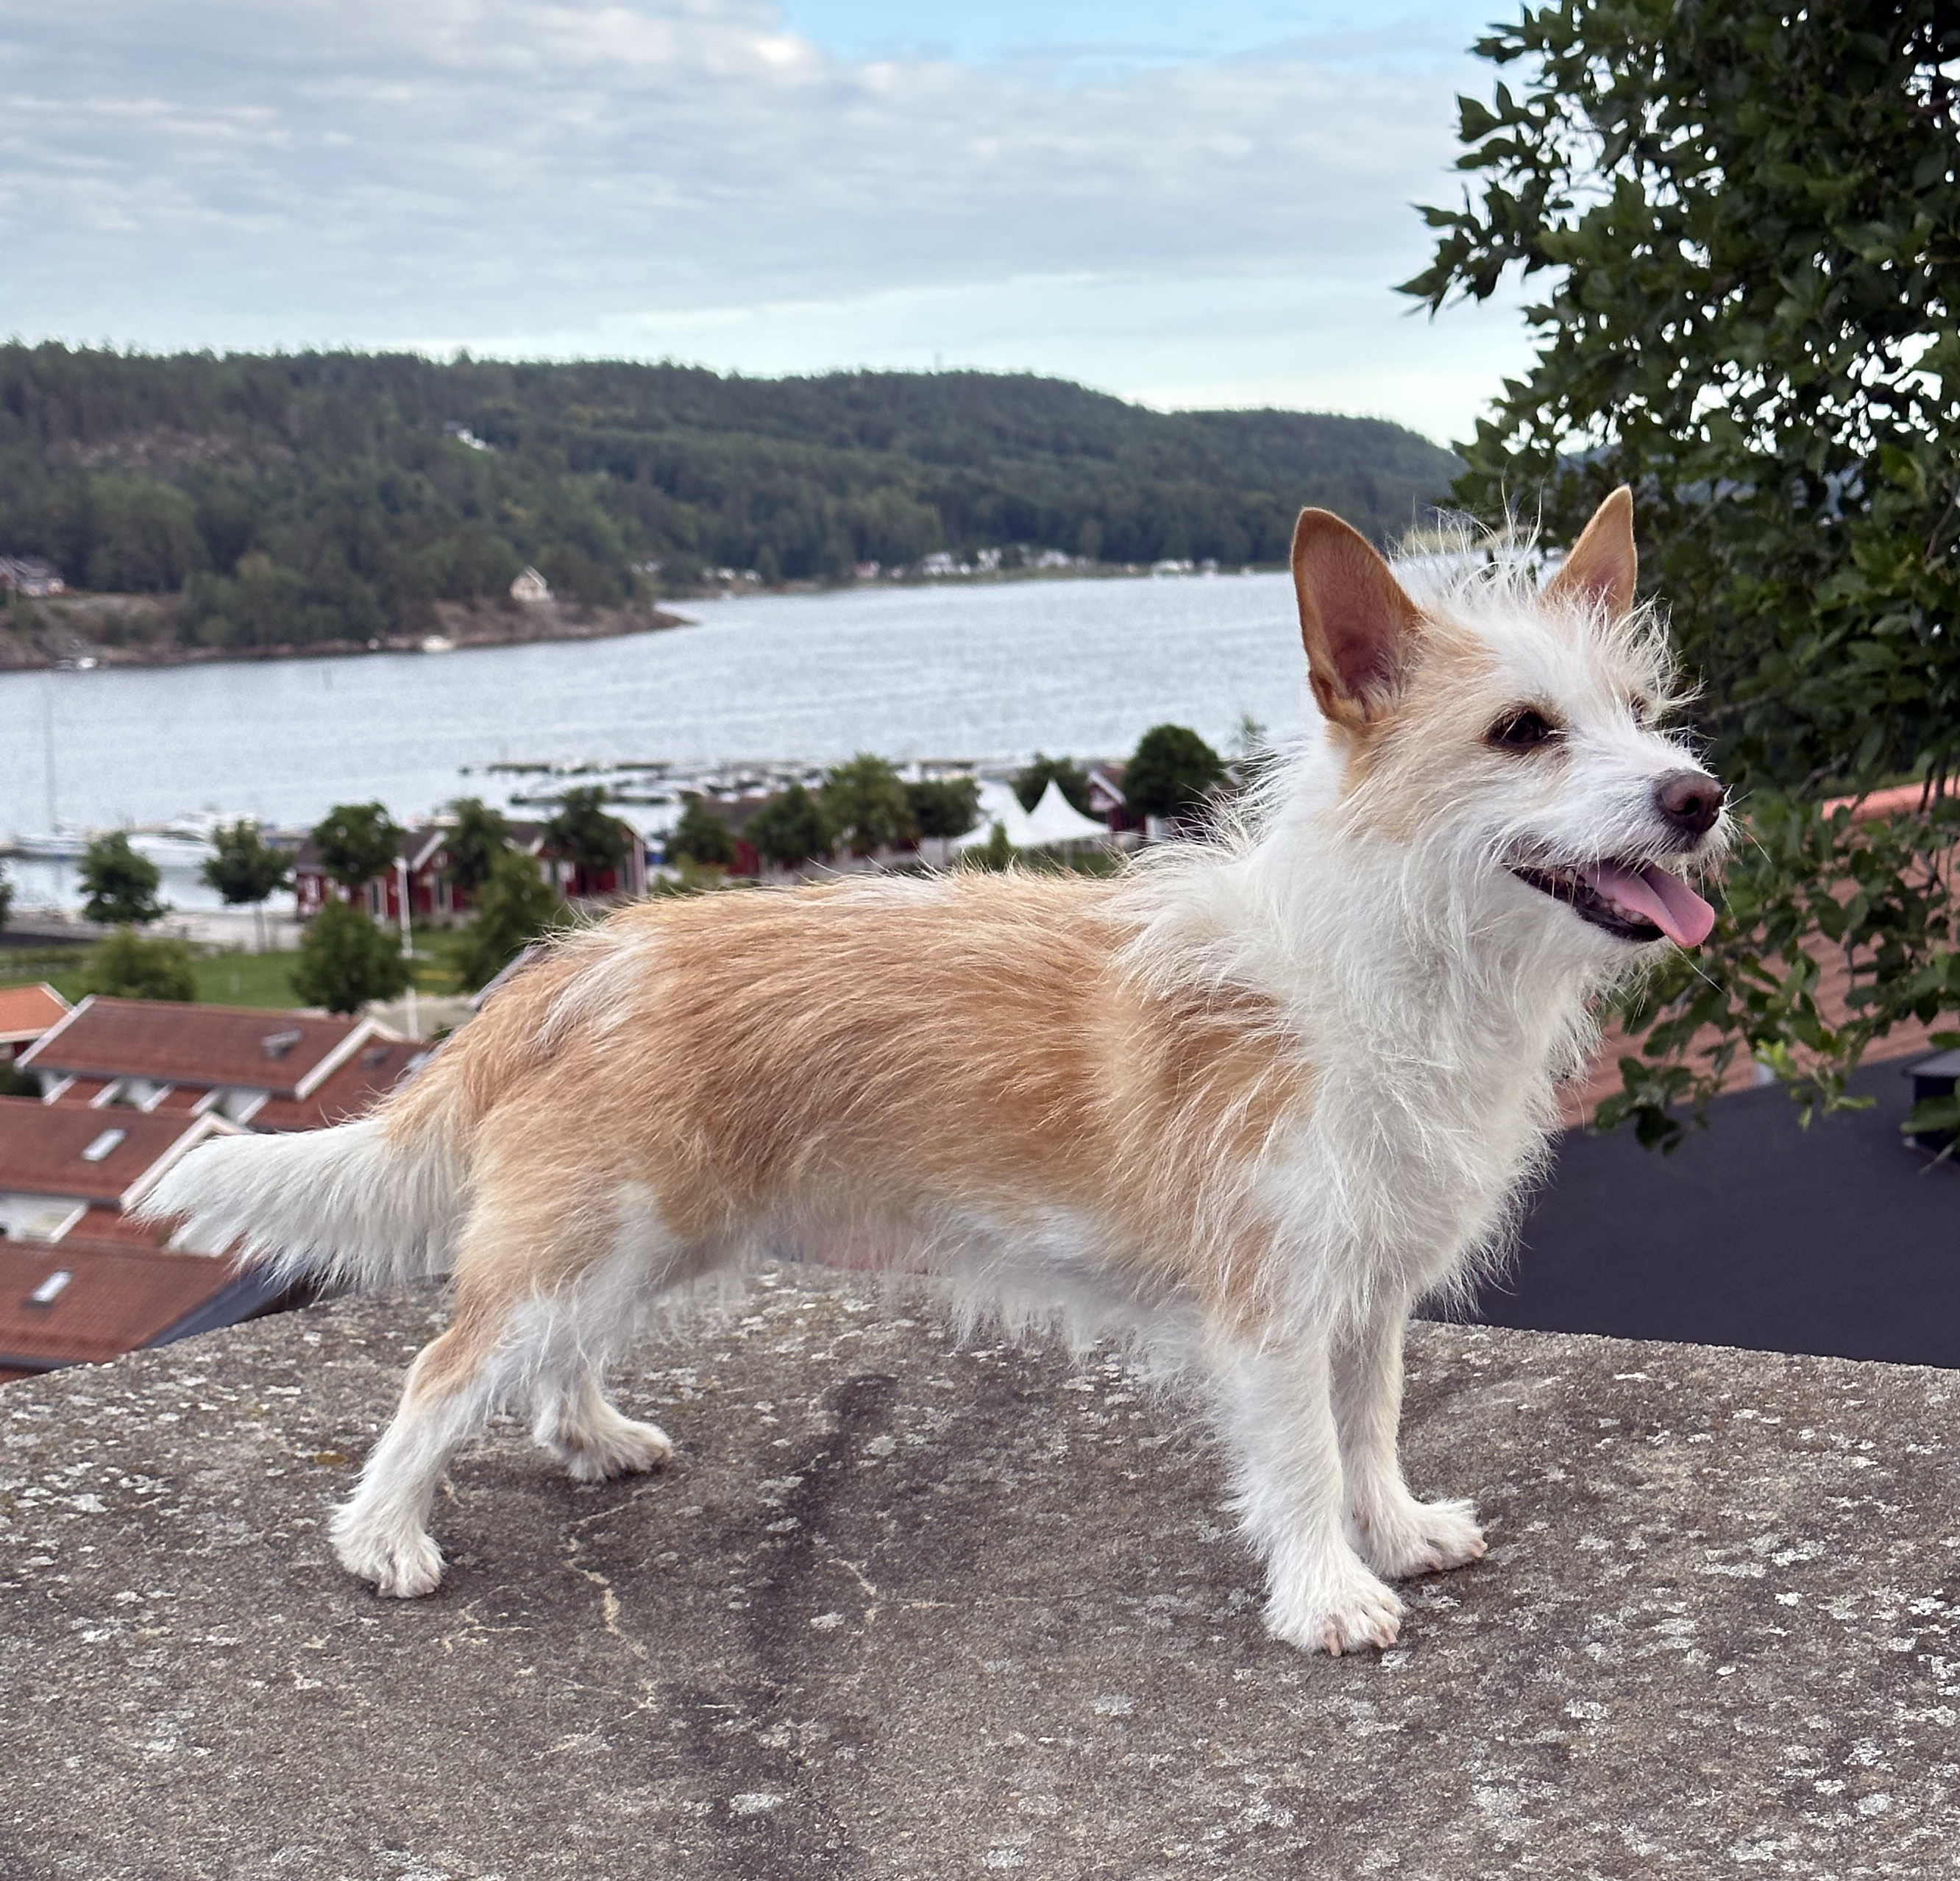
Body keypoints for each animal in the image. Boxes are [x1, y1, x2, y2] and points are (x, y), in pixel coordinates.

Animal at [145, 492, 1725, 1655]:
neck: (1392, 963)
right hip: (589, 1234)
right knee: (440, 1368)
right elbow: (1296, 1456)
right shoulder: (1271, 1302)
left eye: (1639, 707)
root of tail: (576, 960)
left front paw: (1391, 1531)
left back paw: (588, 1435)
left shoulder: (1365, 1291)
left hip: (645, 1238)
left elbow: (1369, 1425)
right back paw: (381, 1537)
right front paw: (1327, 1591)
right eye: (1520, 731)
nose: (1697, 796)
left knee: (547, 1361)